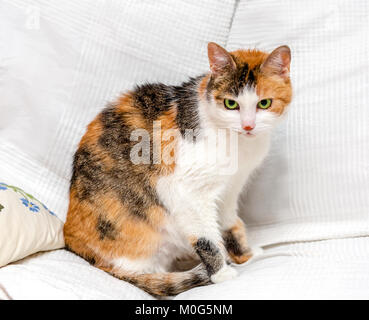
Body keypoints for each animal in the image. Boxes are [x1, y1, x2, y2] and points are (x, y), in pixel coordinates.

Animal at [64, 42, 292, 298]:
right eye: (231, 104)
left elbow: (231, 223)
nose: (248, 126)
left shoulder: (231, 188)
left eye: (264, 103)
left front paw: (245, 255)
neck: (241, 145)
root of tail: (72, 240)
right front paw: (221, 272)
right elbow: (206, 238)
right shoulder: (186, 191)